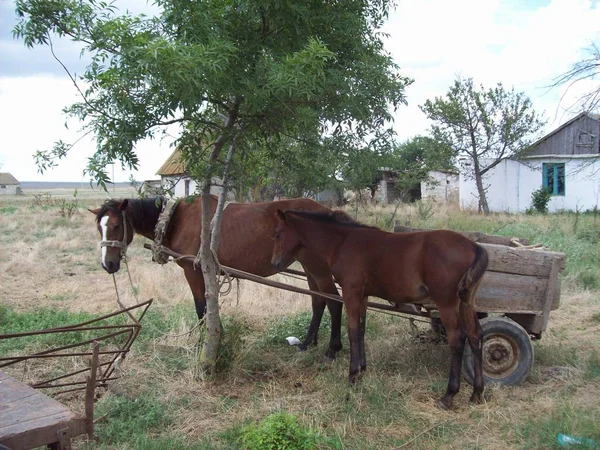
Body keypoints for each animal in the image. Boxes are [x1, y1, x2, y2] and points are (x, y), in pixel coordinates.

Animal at [88, 196, 342, 358]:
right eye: (99, 228)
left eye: (117, 225)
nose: (108, 264)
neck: (177, 219)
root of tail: (328, 212)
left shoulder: (193, 271)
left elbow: (202, 308)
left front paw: (205, 343)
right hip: (309, 267)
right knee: (318, 301)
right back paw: (308, 343)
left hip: (317, 267)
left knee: (334, 301)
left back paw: (333, 349)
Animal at [272, 209, 488, 410]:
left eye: (277, 234)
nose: (275, 263)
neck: (342, 242)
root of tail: (474, 246)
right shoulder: (363, 295)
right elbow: (361, 329)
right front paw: (362, 370)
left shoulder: (350, 292)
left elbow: (352, 330)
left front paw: (352, 375)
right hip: (466, 302)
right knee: (475, 335)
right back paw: (477, 393)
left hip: (446, 303)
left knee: (457, 339)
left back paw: (448, 395)